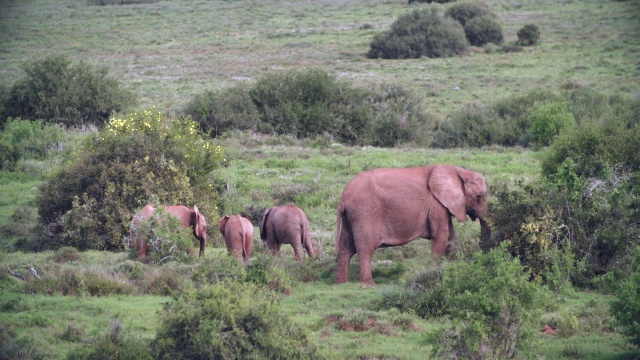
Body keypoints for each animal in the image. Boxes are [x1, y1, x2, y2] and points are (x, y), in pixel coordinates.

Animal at [336, 165, 490, 286]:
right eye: (479, 196)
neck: (460, 171)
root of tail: (343, 198)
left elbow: (451, 238)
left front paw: (454, 268)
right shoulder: (436, 204)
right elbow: (440, 236)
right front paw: (437, 273)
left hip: (351, 217)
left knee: (345, 247)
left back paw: (342, 283)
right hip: (364, 214)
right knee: (365, 248)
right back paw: (369, 285)